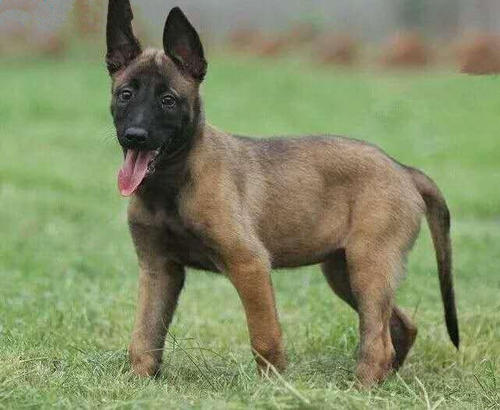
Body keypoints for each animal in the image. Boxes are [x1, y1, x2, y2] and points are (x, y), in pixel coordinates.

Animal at [105, 1, 459, 387]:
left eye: (168, 100)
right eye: (125, 95)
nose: (135, 136)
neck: (171, 185)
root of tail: (402, 168)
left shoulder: (249, 264)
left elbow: (264, 336)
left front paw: (272, 386)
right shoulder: (158, 268)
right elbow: (145, 334)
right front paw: (140, 382)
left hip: (369, 265)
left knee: (378, 342)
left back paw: (361, 389)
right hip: (343, 271)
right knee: (400, 326)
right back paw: (385, 381)